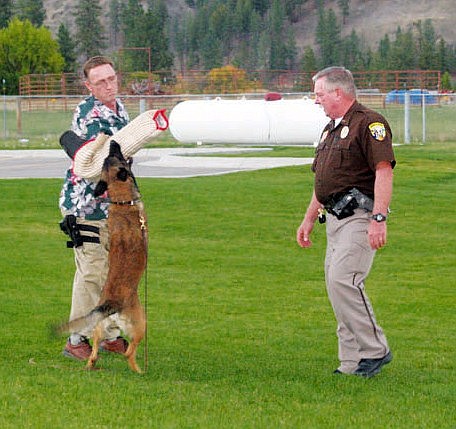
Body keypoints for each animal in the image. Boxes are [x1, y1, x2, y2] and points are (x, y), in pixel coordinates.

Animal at [57, 141, 148, 372]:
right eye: (117, 155)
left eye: (109, 157)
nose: (114, 142)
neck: (121, 202)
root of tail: (111, 307)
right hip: (141, 324)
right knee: (129, 352)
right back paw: (138, 369)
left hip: (99, 329)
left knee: (96, 347)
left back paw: (91, 364)